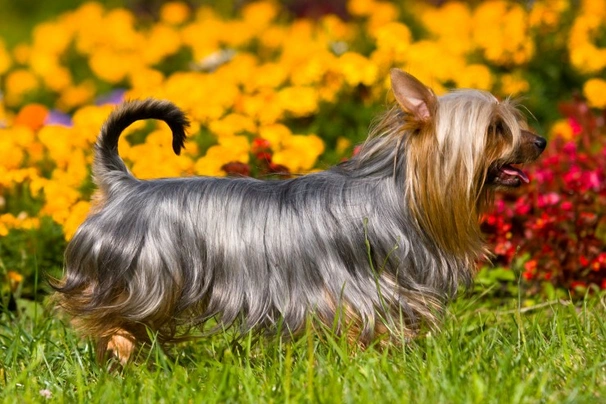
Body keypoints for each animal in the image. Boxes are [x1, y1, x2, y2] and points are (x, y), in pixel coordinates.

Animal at [51, 68, 548, 362]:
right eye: (497, 129)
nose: (540, 142)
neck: (403, 194)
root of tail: (124, 185)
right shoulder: (359, 292)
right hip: (138, 280)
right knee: (108, 319)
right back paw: (121, 353)